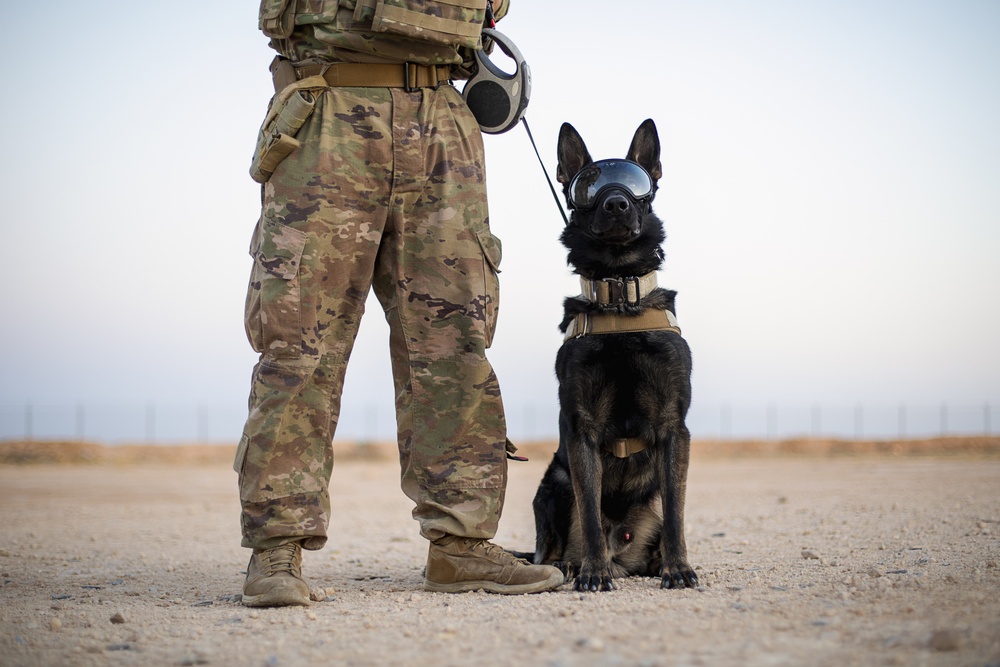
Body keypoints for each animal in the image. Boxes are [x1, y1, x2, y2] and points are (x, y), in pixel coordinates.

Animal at [528, 120, 700, 596]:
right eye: (586, 186)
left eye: (636, 182)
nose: (618, 202)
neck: (619, 292)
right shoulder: (582, 431)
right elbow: (588, 512)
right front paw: (592, 571)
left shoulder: (674, 429)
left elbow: (677, 513)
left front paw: (678, 568)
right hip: (554, 484)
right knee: (555, 543)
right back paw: (570, 565)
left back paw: (655, 562)